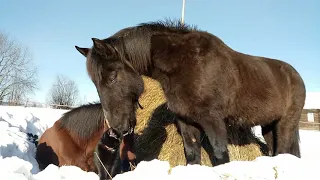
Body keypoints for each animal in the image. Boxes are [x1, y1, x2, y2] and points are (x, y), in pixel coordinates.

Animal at [75, 19, 308, 167]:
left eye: (112, 77)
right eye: (96, 83)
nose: (117, 127)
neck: (187, 64)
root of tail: (295, 75)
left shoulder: (213, 121)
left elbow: (220, 156)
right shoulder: (186, 122)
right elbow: (193, 155)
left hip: (286, 123)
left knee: (284, 151)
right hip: (269, 125)